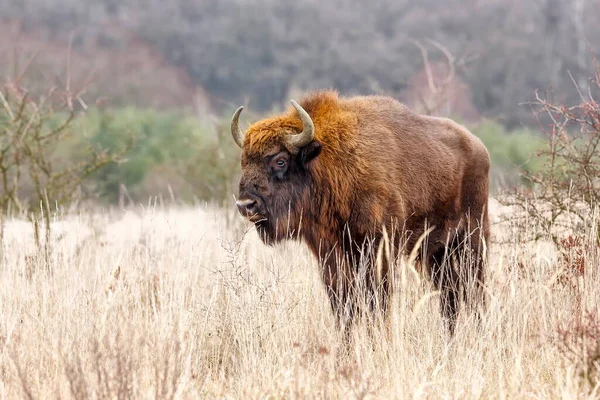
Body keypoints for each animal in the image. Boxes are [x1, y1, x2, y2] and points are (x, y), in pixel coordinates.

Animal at [232, 91, 490, 338]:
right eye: (244, 162)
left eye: (280, 161)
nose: (246, 204)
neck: (330, 163)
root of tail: (479, 148)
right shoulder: (331, 256)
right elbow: (343, 305)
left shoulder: (379, 251)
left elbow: (377, 301)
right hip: (437, 252)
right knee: (450, 294)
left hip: (473, 239)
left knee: (476, 290)